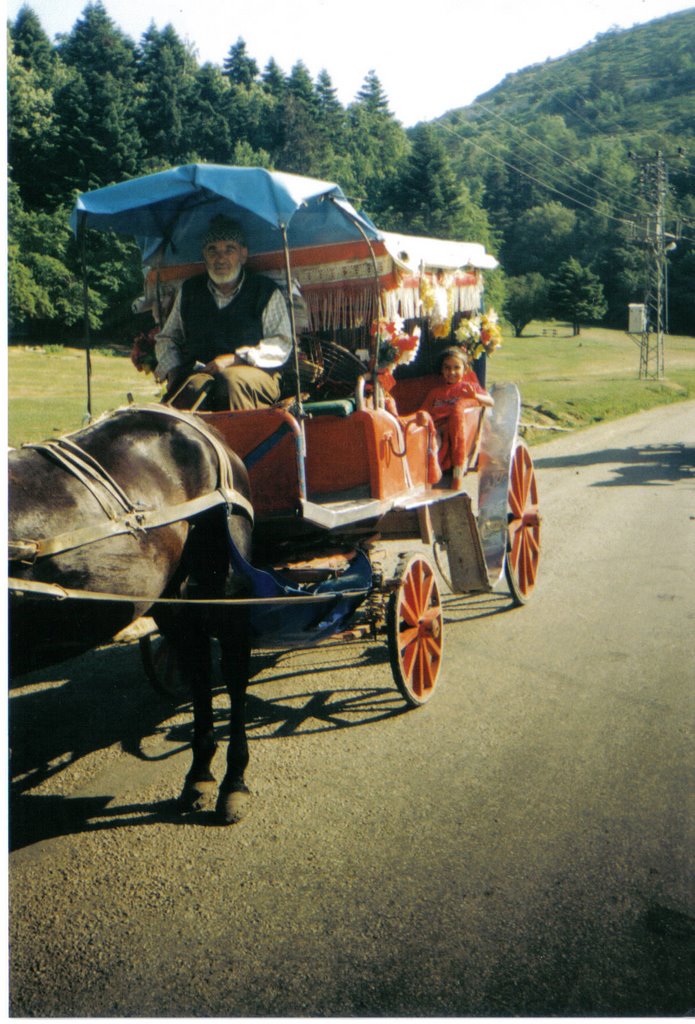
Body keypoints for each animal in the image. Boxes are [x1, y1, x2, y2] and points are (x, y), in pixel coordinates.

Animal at [7, 401, 257, 823]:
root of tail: (191, 421)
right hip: (172, 597)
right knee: (197, 665)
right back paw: (199, 775)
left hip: (224, 580)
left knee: (235, 669)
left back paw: (234, 782)